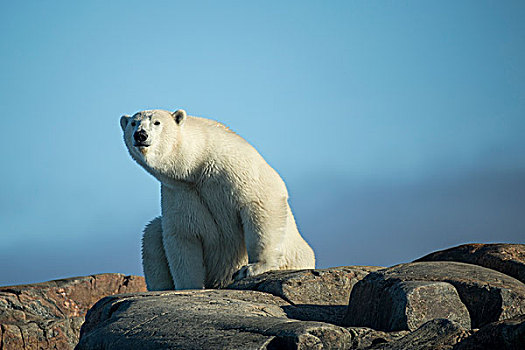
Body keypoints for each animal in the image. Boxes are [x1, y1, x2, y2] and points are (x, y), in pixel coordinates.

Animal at [121, 108, 314, 290]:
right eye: (133, 123)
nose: (140, 135)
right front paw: (189, 286)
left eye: (157, 122)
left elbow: (261, 200)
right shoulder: (180, 191)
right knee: (152, 233)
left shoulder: (233, 165)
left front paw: (252, 268)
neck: (197, 164)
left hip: (297, 254)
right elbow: (183, 234)